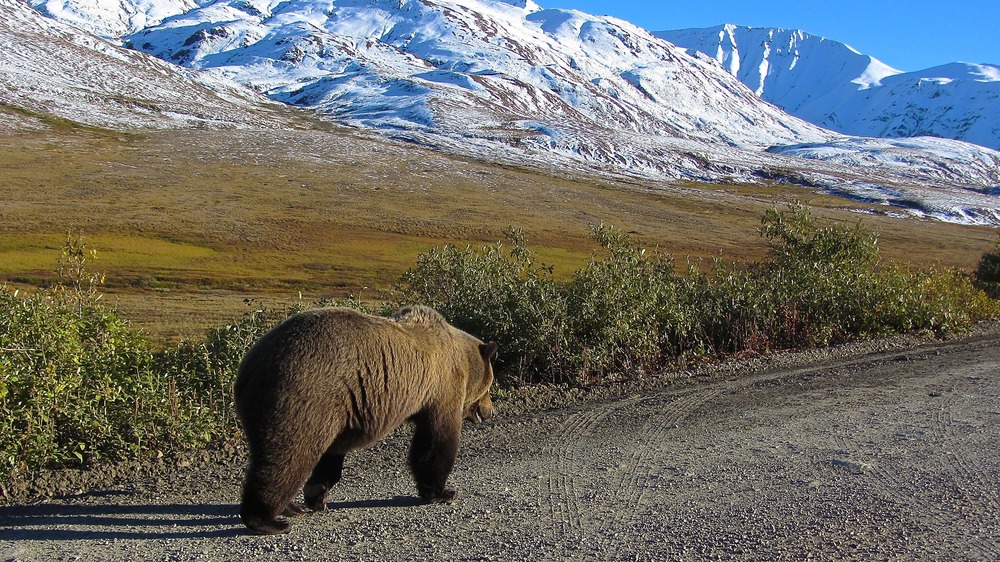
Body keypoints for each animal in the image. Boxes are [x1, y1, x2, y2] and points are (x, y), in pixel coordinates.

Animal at [233, 305, 498, 535]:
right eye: (489, 386)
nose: (489, 411)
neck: (461, 356)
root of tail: (249, 367)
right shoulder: (441, 388)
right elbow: (436, 442)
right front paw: (442, 492)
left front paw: (317, 493)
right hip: (302, 397)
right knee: (288, 456)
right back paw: (268, 521)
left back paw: (292, 507)